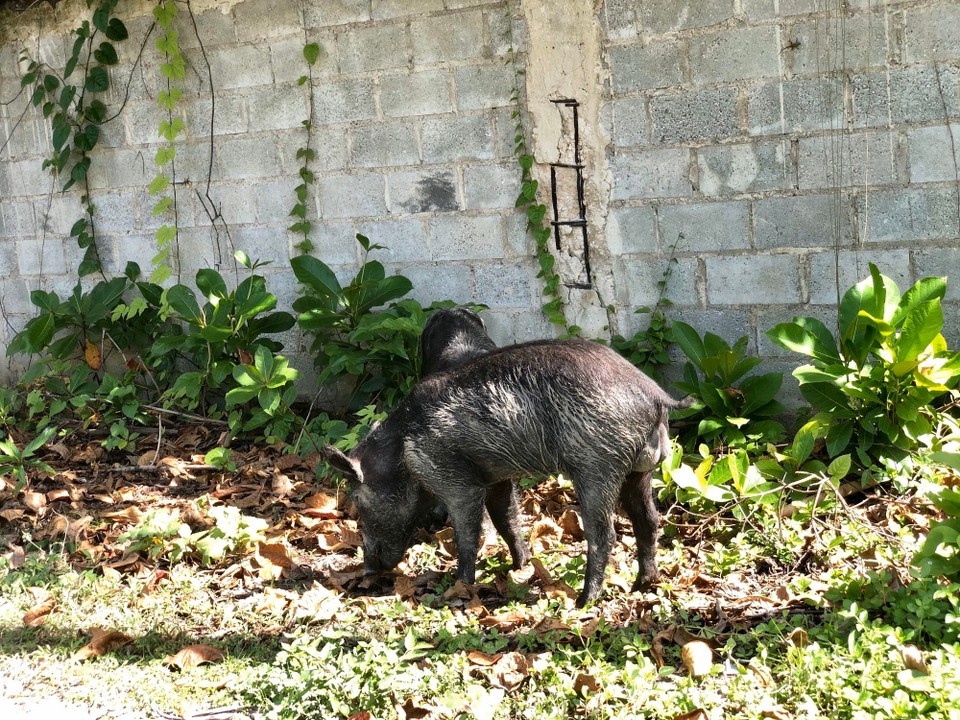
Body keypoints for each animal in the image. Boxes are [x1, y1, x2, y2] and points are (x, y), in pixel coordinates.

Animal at [326, 338, 692, 608]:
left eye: (358, 501)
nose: (368, 571)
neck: (402, 454)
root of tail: (656, 395)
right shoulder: (496, 479)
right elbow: (508, 521)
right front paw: (521, 567)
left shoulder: (454, 479)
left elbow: (468, 534)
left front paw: (460, 586)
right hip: (639, 472)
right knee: (648, 520)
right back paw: (643, 585)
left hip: (596, 468)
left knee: (605, 535)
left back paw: (584, 601)